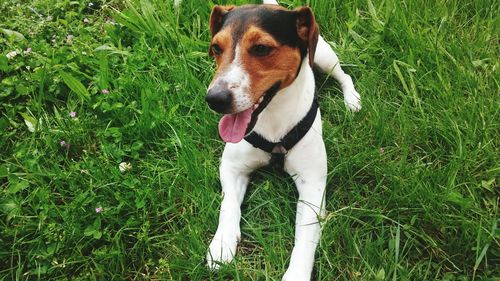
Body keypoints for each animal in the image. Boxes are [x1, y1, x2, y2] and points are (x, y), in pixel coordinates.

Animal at [205, 1, 362, 278]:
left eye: (261, 48)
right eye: (216, 48)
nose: (214, 99)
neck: (271, 118)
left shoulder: (312, 185)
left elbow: (305, 237)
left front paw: (297, 274)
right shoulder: (231, 168)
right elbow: (229, 205)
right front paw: (222, 244)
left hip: (324, 56)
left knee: (343, 74)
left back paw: (351, 99)